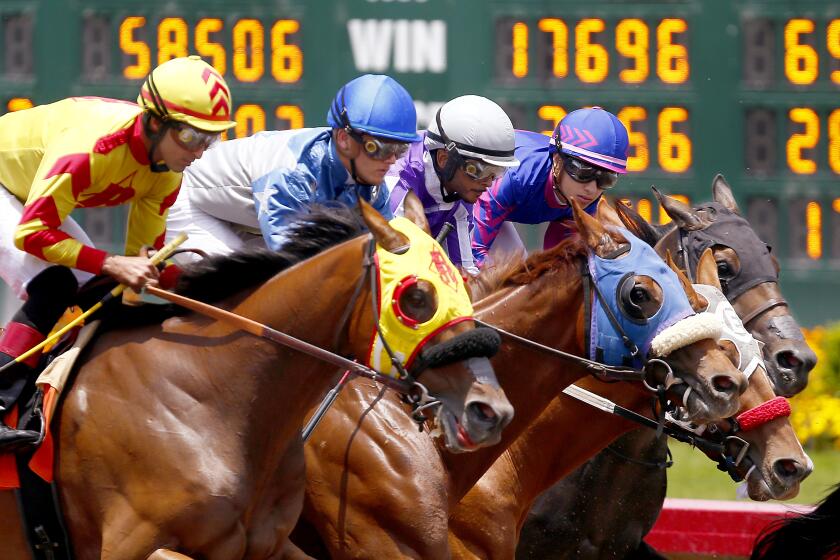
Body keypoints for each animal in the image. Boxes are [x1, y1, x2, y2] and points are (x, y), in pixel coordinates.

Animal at [0, 203, 512, 560]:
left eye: (463, 286)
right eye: (416, 297)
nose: (490, 410)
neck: (215, 398)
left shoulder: (270, 545)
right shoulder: (129, 546)